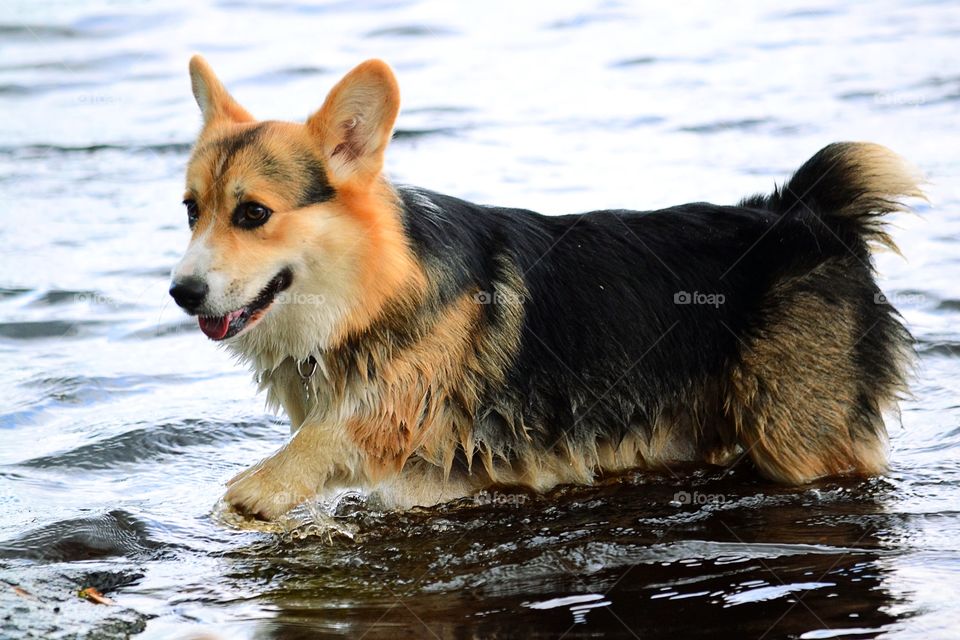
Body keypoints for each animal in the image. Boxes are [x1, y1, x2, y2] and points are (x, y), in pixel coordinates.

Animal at [171, 56, 924, 520]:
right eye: (190, 210)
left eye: (253, 214)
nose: (182, 292)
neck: (370, 289)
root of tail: (804, 214)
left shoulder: (402, 408)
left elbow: (333, 433)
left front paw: (257, 490)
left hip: (796, 438)